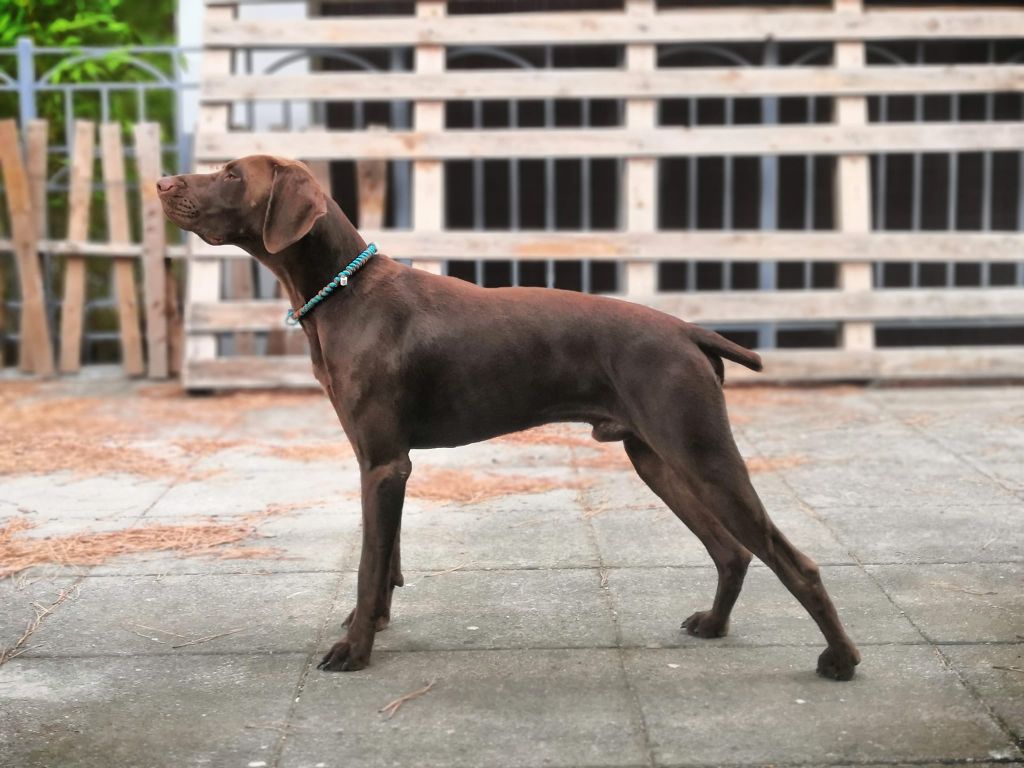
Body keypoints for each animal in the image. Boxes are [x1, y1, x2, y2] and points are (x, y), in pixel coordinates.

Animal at [159, 154, 860, 679]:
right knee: (732, 551)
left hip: (701, 452)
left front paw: (354, 650)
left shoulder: (383, 464)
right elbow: (386, 563)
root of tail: (687, 330)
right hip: (657, 459)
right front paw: (374, 625)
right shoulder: (385, 465)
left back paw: (841, 658)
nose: (162, 182)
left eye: (230, 173)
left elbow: (367, 566)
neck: (344, 291)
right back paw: (714, 626)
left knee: (793, 561)